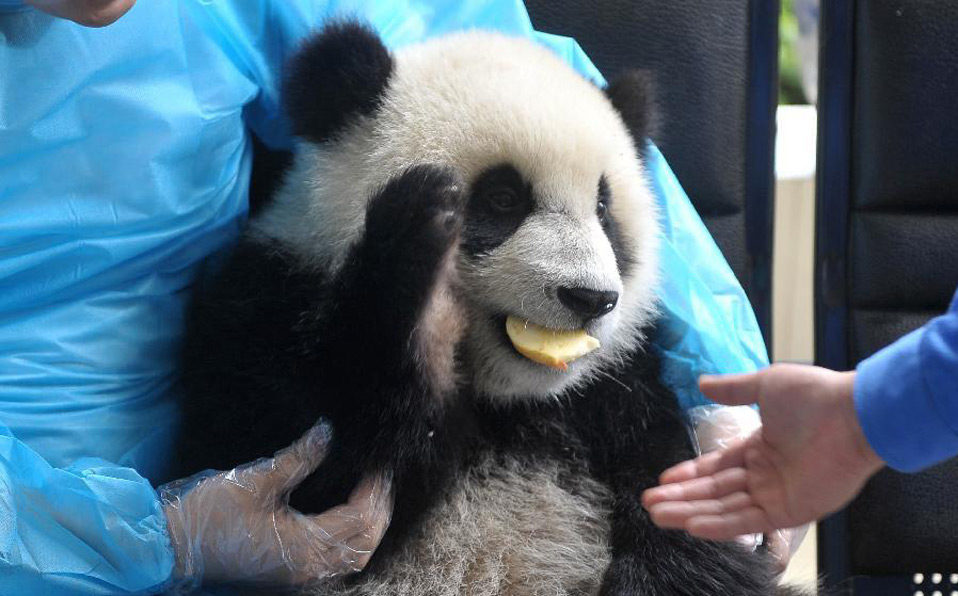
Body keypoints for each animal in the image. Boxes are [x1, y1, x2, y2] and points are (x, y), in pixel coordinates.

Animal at [176, 21, 808, 596]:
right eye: (503, 198)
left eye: (603, 208)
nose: (590, 298)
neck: (513, 401)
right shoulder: (269, 300)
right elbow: (311, 473)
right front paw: (420, 287)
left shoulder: (618, 384)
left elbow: (671, 491)